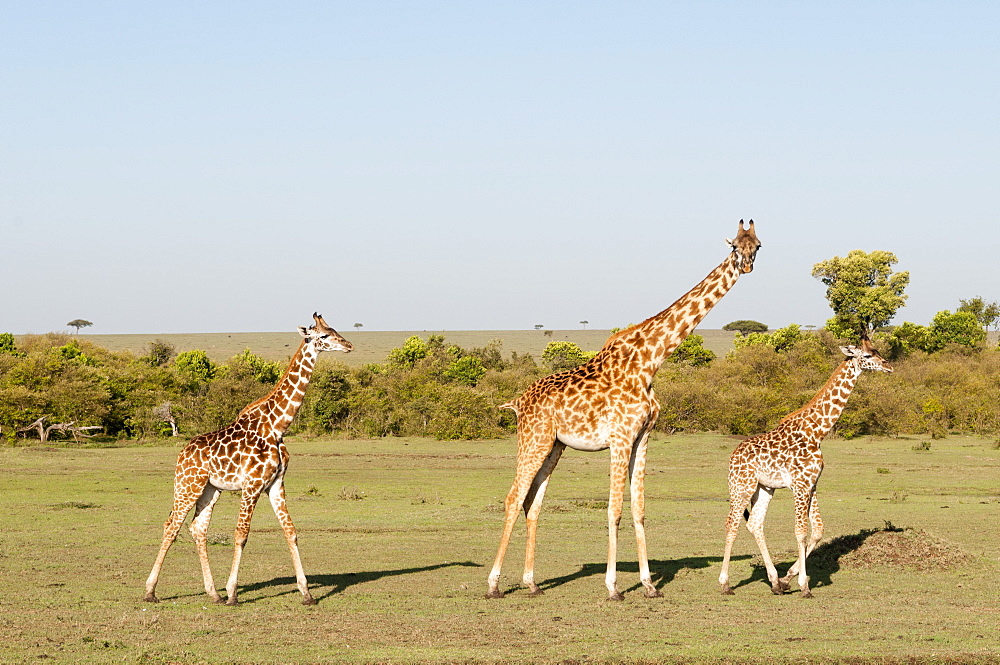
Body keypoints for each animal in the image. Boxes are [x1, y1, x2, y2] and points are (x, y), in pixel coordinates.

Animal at [143, 314, 354, 604]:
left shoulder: (275, 484)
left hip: (210, 490)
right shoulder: (252, 485)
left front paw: (306, 593)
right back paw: (151, 591)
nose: (348, 345)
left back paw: (213, 594)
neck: (277, 426)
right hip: (188, 485)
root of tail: (181, 454)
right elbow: (241, 534)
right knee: (171, 526)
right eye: (323, 336)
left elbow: (291, 532)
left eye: (334, 331)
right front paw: (233, 592)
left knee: (198, 529)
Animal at [484, 220, 756, 600]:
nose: (745, 265)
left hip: (554, 446)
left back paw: (532, 582)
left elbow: (639, 509)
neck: (651, 361)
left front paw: (648, 584)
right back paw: (494, 584)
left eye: (757, 245)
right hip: (533, 439)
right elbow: (614, 510)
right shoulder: (620, 437)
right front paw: (613, 586)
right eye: (734, 246)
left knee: (531, 503)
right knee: (513, 498)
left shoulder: (642, 437)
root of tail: (518, 402)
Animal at [716, 338, 896, 596]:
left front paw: (787, 578)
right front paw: (804, 585)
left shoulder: (812, 484)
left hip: (764, 488)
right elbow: (800, 532)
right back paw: (725, 583)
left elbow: (818, 530)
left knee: (755, 523)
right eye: (868, 356)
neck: (817, 431)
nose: (889, 366)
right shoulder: (800, 485)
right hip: (742, 485)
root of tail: (732, 455)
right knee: (732, 523)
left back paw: (774, 582)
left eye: (878, 351)